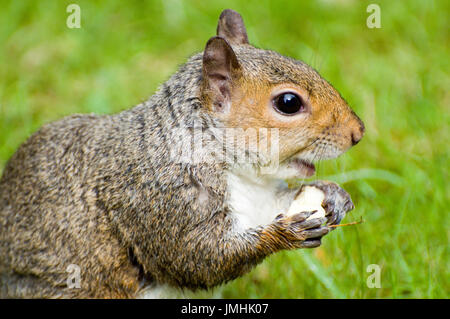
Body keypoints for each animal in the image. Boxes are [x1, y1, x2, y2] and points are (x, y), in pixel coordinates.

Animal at [0, 10, 364, 300]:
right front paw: (283, 234)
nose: (357, 132)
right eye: (288, 103)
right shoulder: (162, 200)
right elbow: (197, 257)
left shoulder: (257, 202)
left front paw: (333, 195)